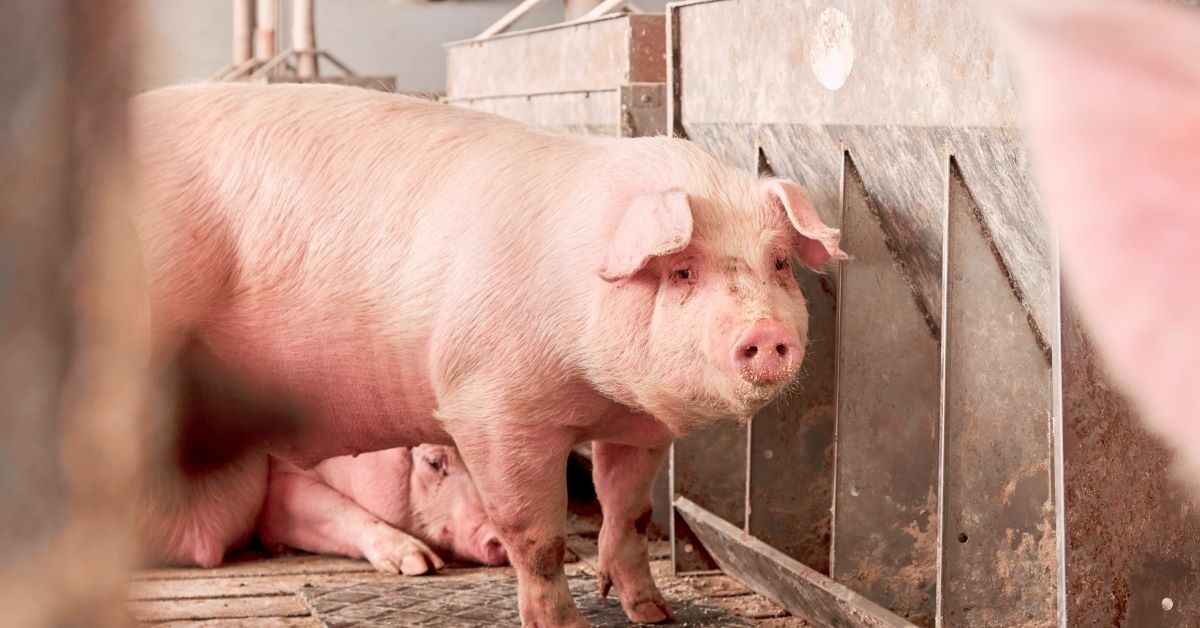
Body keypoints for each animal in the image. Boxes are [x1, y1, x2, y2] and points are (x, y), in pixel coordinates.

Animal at [131, 82, 846, 626]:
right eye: (683, 272)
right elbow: (538, 539)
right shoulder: (491, 408)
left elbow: (630, 513)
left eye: (778, 263)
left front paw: (654, 613)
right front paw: (569, 625)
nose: (766, 333)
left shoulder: (637, 427)